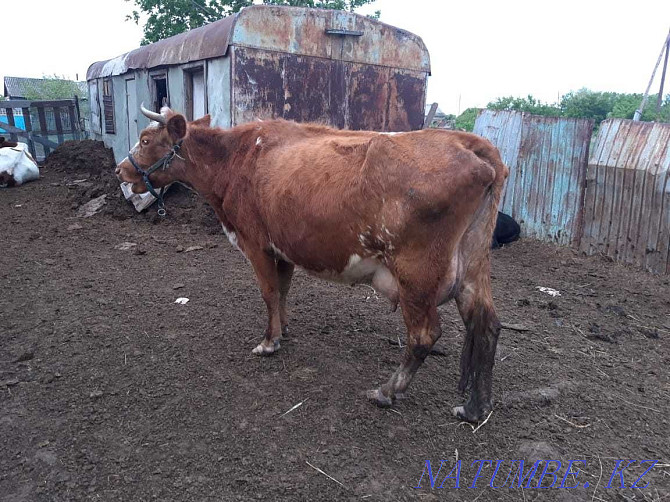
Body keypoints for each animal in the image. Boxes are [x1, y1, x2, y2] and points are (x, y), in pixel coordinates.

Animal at [115, 107, 510, 424]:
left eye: (146, 139)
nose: (120, 170)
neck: (236, 159)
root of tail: (468, 141)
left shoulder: (255, 243)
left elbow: (269, 291)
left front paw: (269, 342)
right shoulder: (283, 248)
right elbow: (283, 290)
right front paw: (284, 328)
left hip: (417, 272)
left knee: (424, 334)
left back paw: (387, 391)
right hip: (473, 263)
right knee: (487, 324)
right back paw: (475, 407)